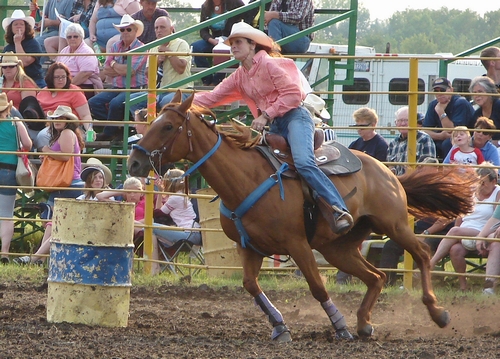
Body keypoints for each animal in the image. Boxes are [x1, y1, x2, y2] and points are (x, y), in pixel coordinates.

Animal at [127, 91, 474, 342]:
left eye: (167, 127)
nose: (133, 163)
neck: (245, 178)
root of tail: (387, 172)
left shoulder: (297, 245)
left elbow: (317, 287)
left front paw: (339, 327)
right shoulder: (249, 247)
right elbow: (251, 285)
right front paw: (280, 328)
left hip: (394, 224)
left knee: (423, 254)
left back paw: (436, 312)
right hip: (338, 248)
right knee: (377, 277)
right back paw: (364, 324)